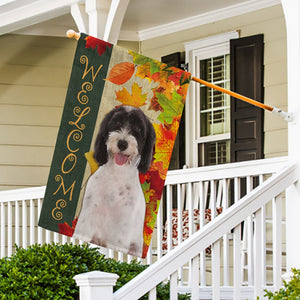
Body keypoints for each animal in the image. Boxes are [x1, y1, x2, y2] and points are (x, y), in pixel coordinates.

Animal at [73, 104, 156, 256]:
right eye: (116, 123)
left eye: (139, 129)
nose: (122, 143)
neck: (117, 174)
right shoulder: (88, 215)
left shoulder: (122, 225)